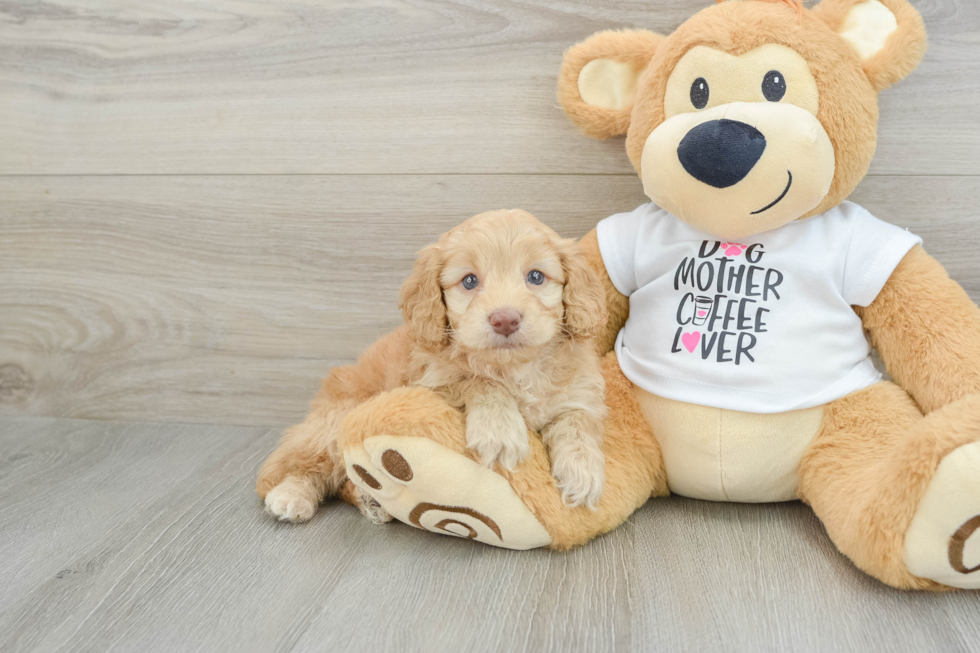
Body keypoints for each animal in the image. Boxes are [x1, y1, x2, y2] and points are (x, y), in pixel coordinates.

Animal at [258, 210, 612, 524]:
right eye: (469, 281)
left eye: (536, 277)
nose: (505, 319)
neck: (513, 368)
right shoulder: (431, 383)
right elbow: (477, 380)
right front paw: (499, 430)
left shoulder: (578, 391)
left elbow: (578, 421)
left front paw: (583, 472)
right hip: (336, 418)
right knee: (307, 466)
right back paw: (292, 495)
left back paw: (370, 499)